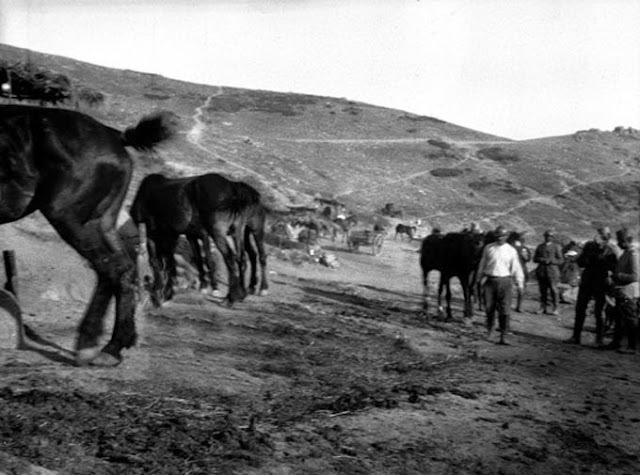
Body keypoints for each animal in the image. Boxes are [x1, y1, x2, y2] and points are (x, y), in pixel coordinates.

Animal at [0, 105, 176, 368]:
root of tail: (114, 136)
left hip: (67, 217)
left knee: (110, 269)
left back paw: (96, 345)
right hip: (102, 221)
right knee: (122, 269)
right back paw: (112, 344)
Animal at [130, 173, 262, 306]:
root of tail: (232, 187)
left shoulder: (155, 233)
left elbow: (160, 261)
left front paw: (163, 293)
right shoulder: (181, 235)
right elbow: (178, 260)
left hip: (218, 232)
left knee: (230, 258)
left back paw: (230, 298)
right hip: (237, 231)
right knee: (241, 258)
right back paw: (241, 294)